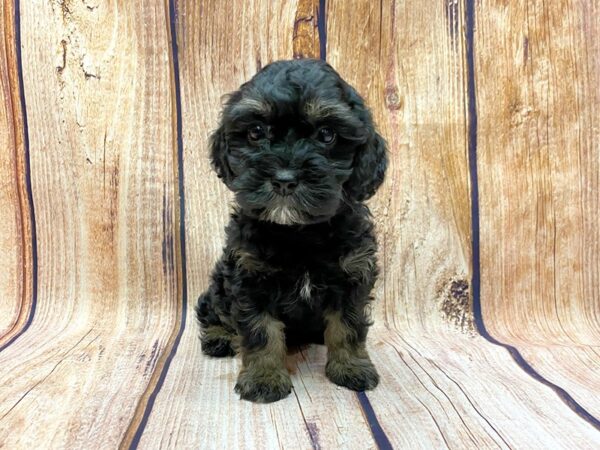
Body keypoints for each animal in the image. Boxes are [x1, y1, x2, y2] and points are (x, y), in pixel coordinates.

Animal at [195, 59, 386, 404]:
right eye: (256, 132)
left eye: (327, 135)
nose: (284, 179)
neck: (299, 233)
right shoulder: (248, 275)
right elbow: (260, 330)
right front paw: (264, 378)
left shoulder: (353, 272)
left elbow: (349, 325)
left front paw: (352, 368)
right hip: (219, 283)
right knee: (212, 309)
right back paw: (219, 338)